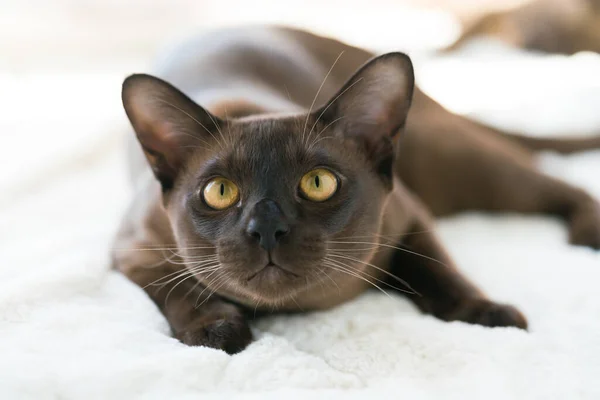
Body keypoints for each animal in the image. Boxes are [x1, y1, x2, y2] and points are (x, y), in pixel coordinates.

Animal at [112, 26, 600, 354]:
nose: (266, 228)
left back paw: (587, 235)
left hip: (458, 166)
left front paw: (488, 316)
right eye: (219, 192)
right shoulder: (132, 253)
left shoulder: (412, 216)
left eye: (318, 183)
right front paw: (217, 331)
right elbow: (179, 290)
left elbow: (439, 272)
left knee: (563, 181)